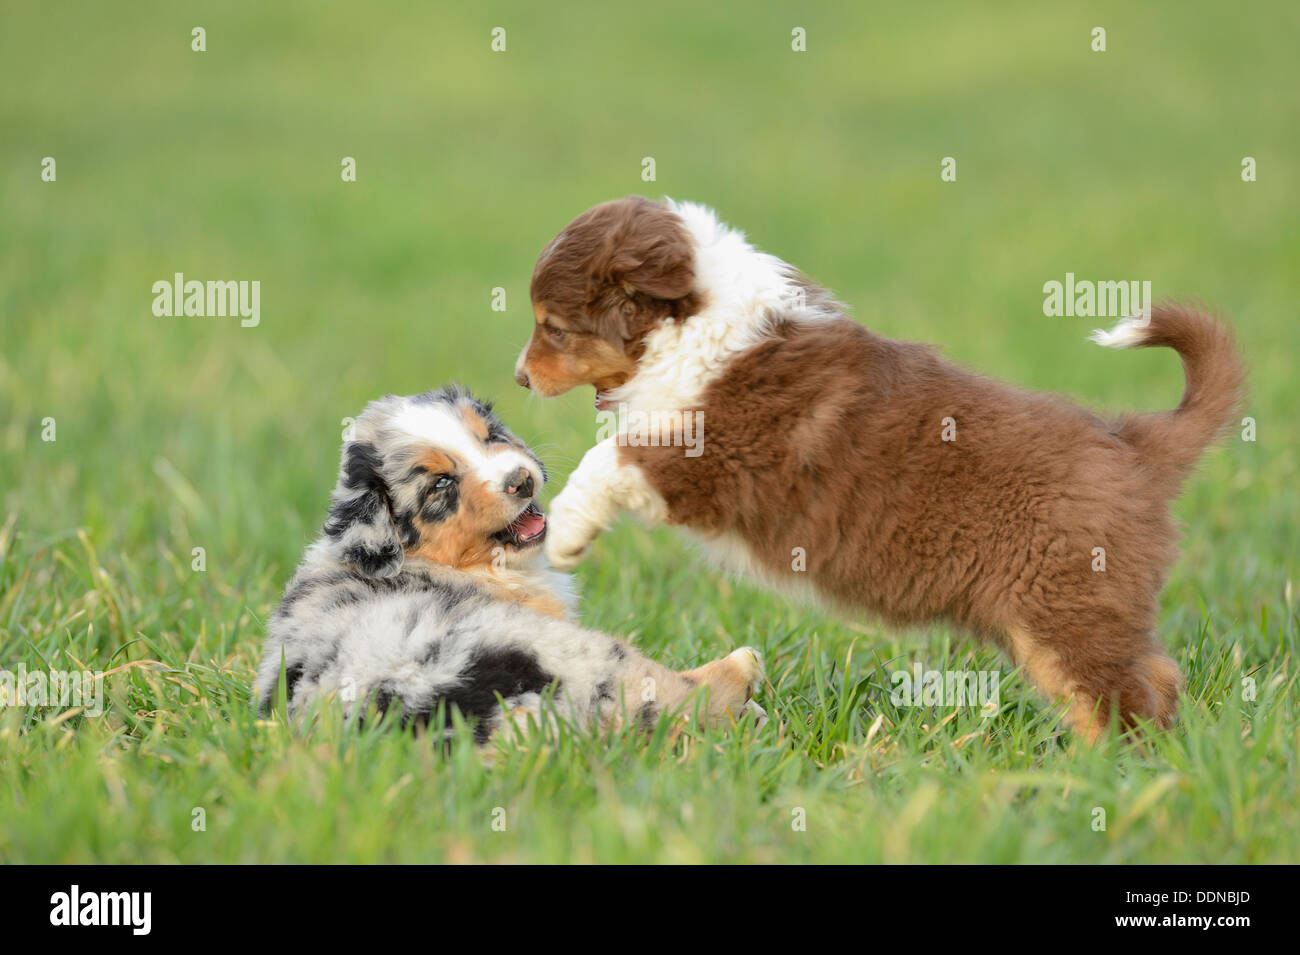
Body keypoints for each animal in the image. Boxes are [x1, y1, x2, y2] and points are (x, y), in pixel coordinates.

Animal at [512, 197, 1242, 743]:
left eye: (553, 327)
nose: (518, 378)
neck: (694, 327)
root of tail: (1135, 442)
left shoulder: (720, 452)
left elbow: (610, 455)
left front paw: (565, 535)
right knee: (1154, 678)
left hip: (1065, 604)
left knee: (1123, 692)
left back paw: (1103, 770)